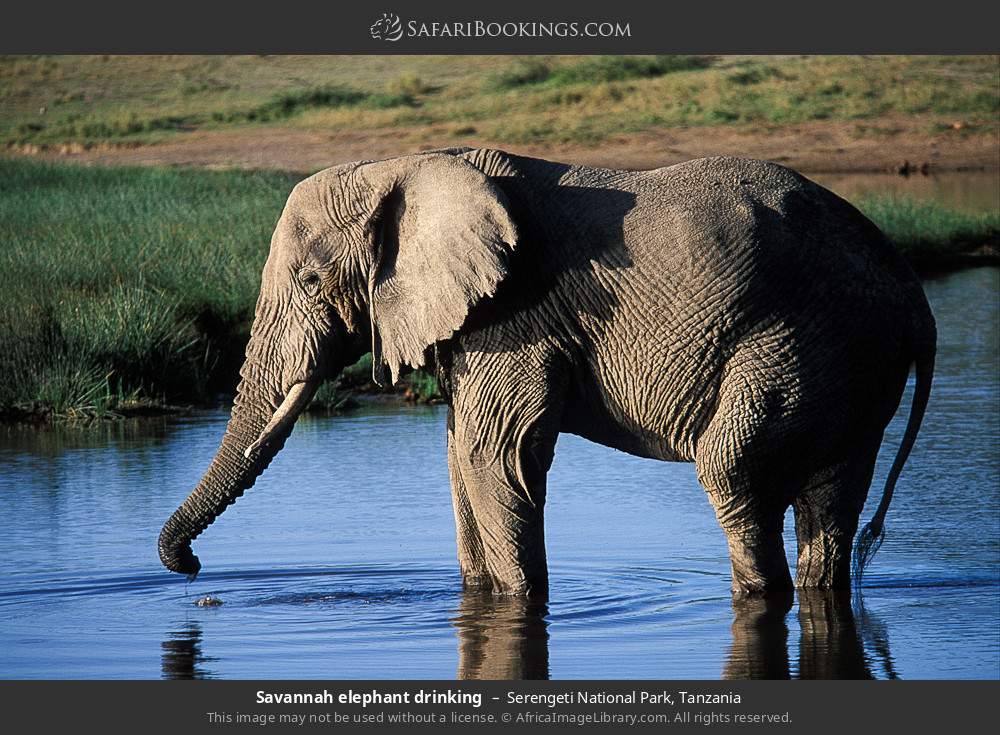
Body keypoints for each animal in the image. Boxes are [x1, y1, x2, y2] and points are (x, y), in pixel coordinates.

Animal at [158, 148, 936, 599]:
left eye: (312, 281)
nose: (191, 570)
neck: (404, 164)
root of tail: (913, 292)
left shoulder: (520, 310)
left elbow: (494, 454)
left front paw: (520, 602)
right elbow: (460, 455)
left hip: (801, 341)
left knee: (731, 468)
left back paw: (759, 593)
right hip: (852, 361)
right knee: (833, 492)